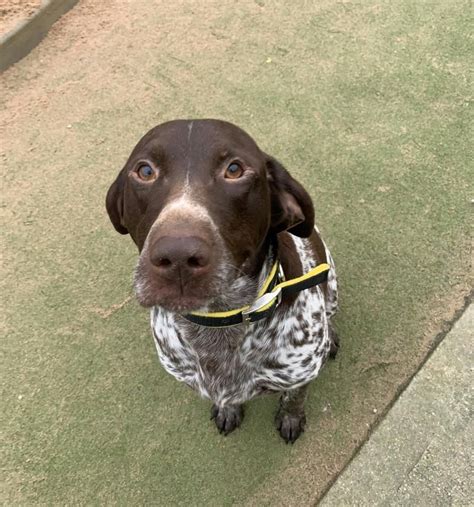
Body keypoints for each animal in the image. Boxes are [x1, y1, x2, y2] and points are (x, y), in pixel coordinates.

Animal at [105, 117, 338, 442]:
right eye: (145, 171)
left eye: (234, 169)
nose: (178, 256)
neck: (219, 318)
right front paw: (228, 409)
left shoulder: (300, 373)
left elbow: (294, 396)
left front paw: (290, 417)